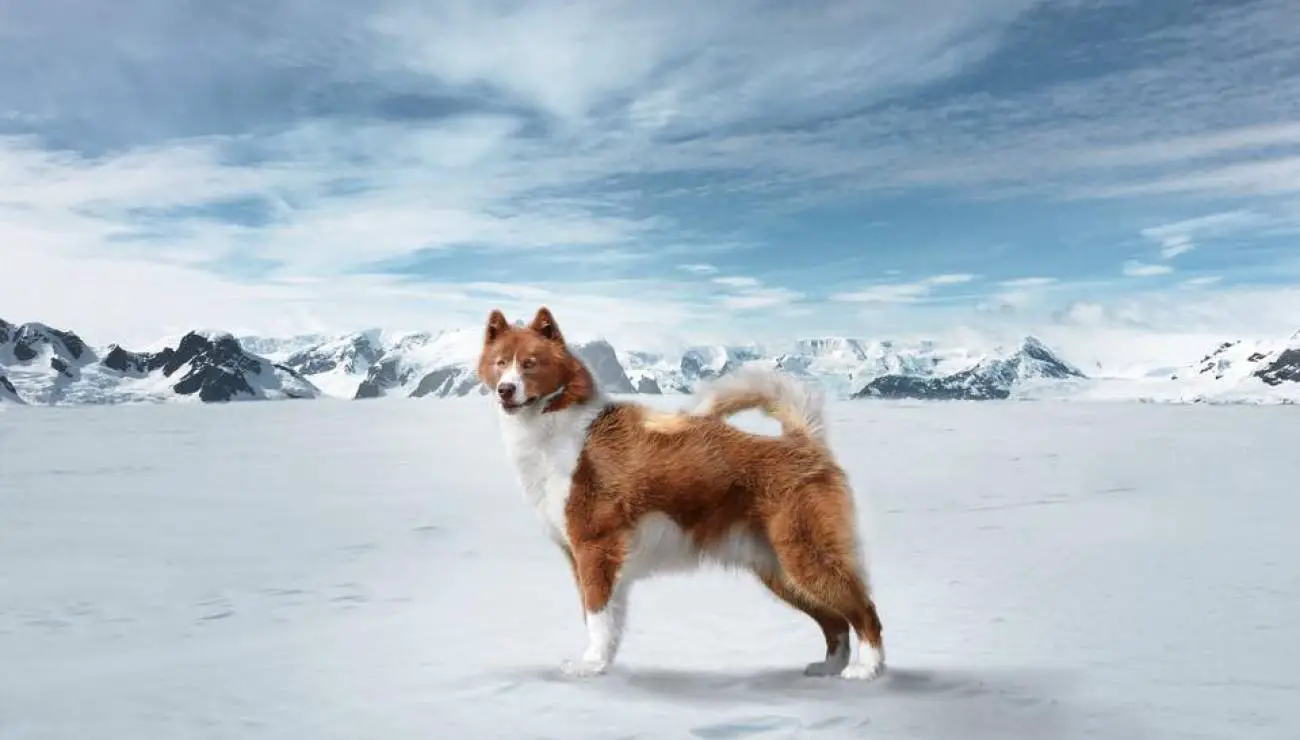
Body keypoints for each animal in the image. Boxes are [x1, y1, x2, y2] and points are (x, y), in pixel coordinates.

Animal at [478, 305, 883, 681]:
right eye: (500, 363)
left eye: (531, 364)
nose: (505, 390)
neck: (560, 429)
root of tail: (805, 441)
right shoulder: (583, 558)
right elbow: (604, 618)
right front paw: (603, 662)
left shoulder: (595, 550)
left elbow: (596, 615)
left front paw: (591, 665)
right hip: (781, 571)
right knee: (835, 622)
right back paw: (829, 667)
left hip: (807, 556)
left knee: (865, 611)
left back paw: (868, 669)